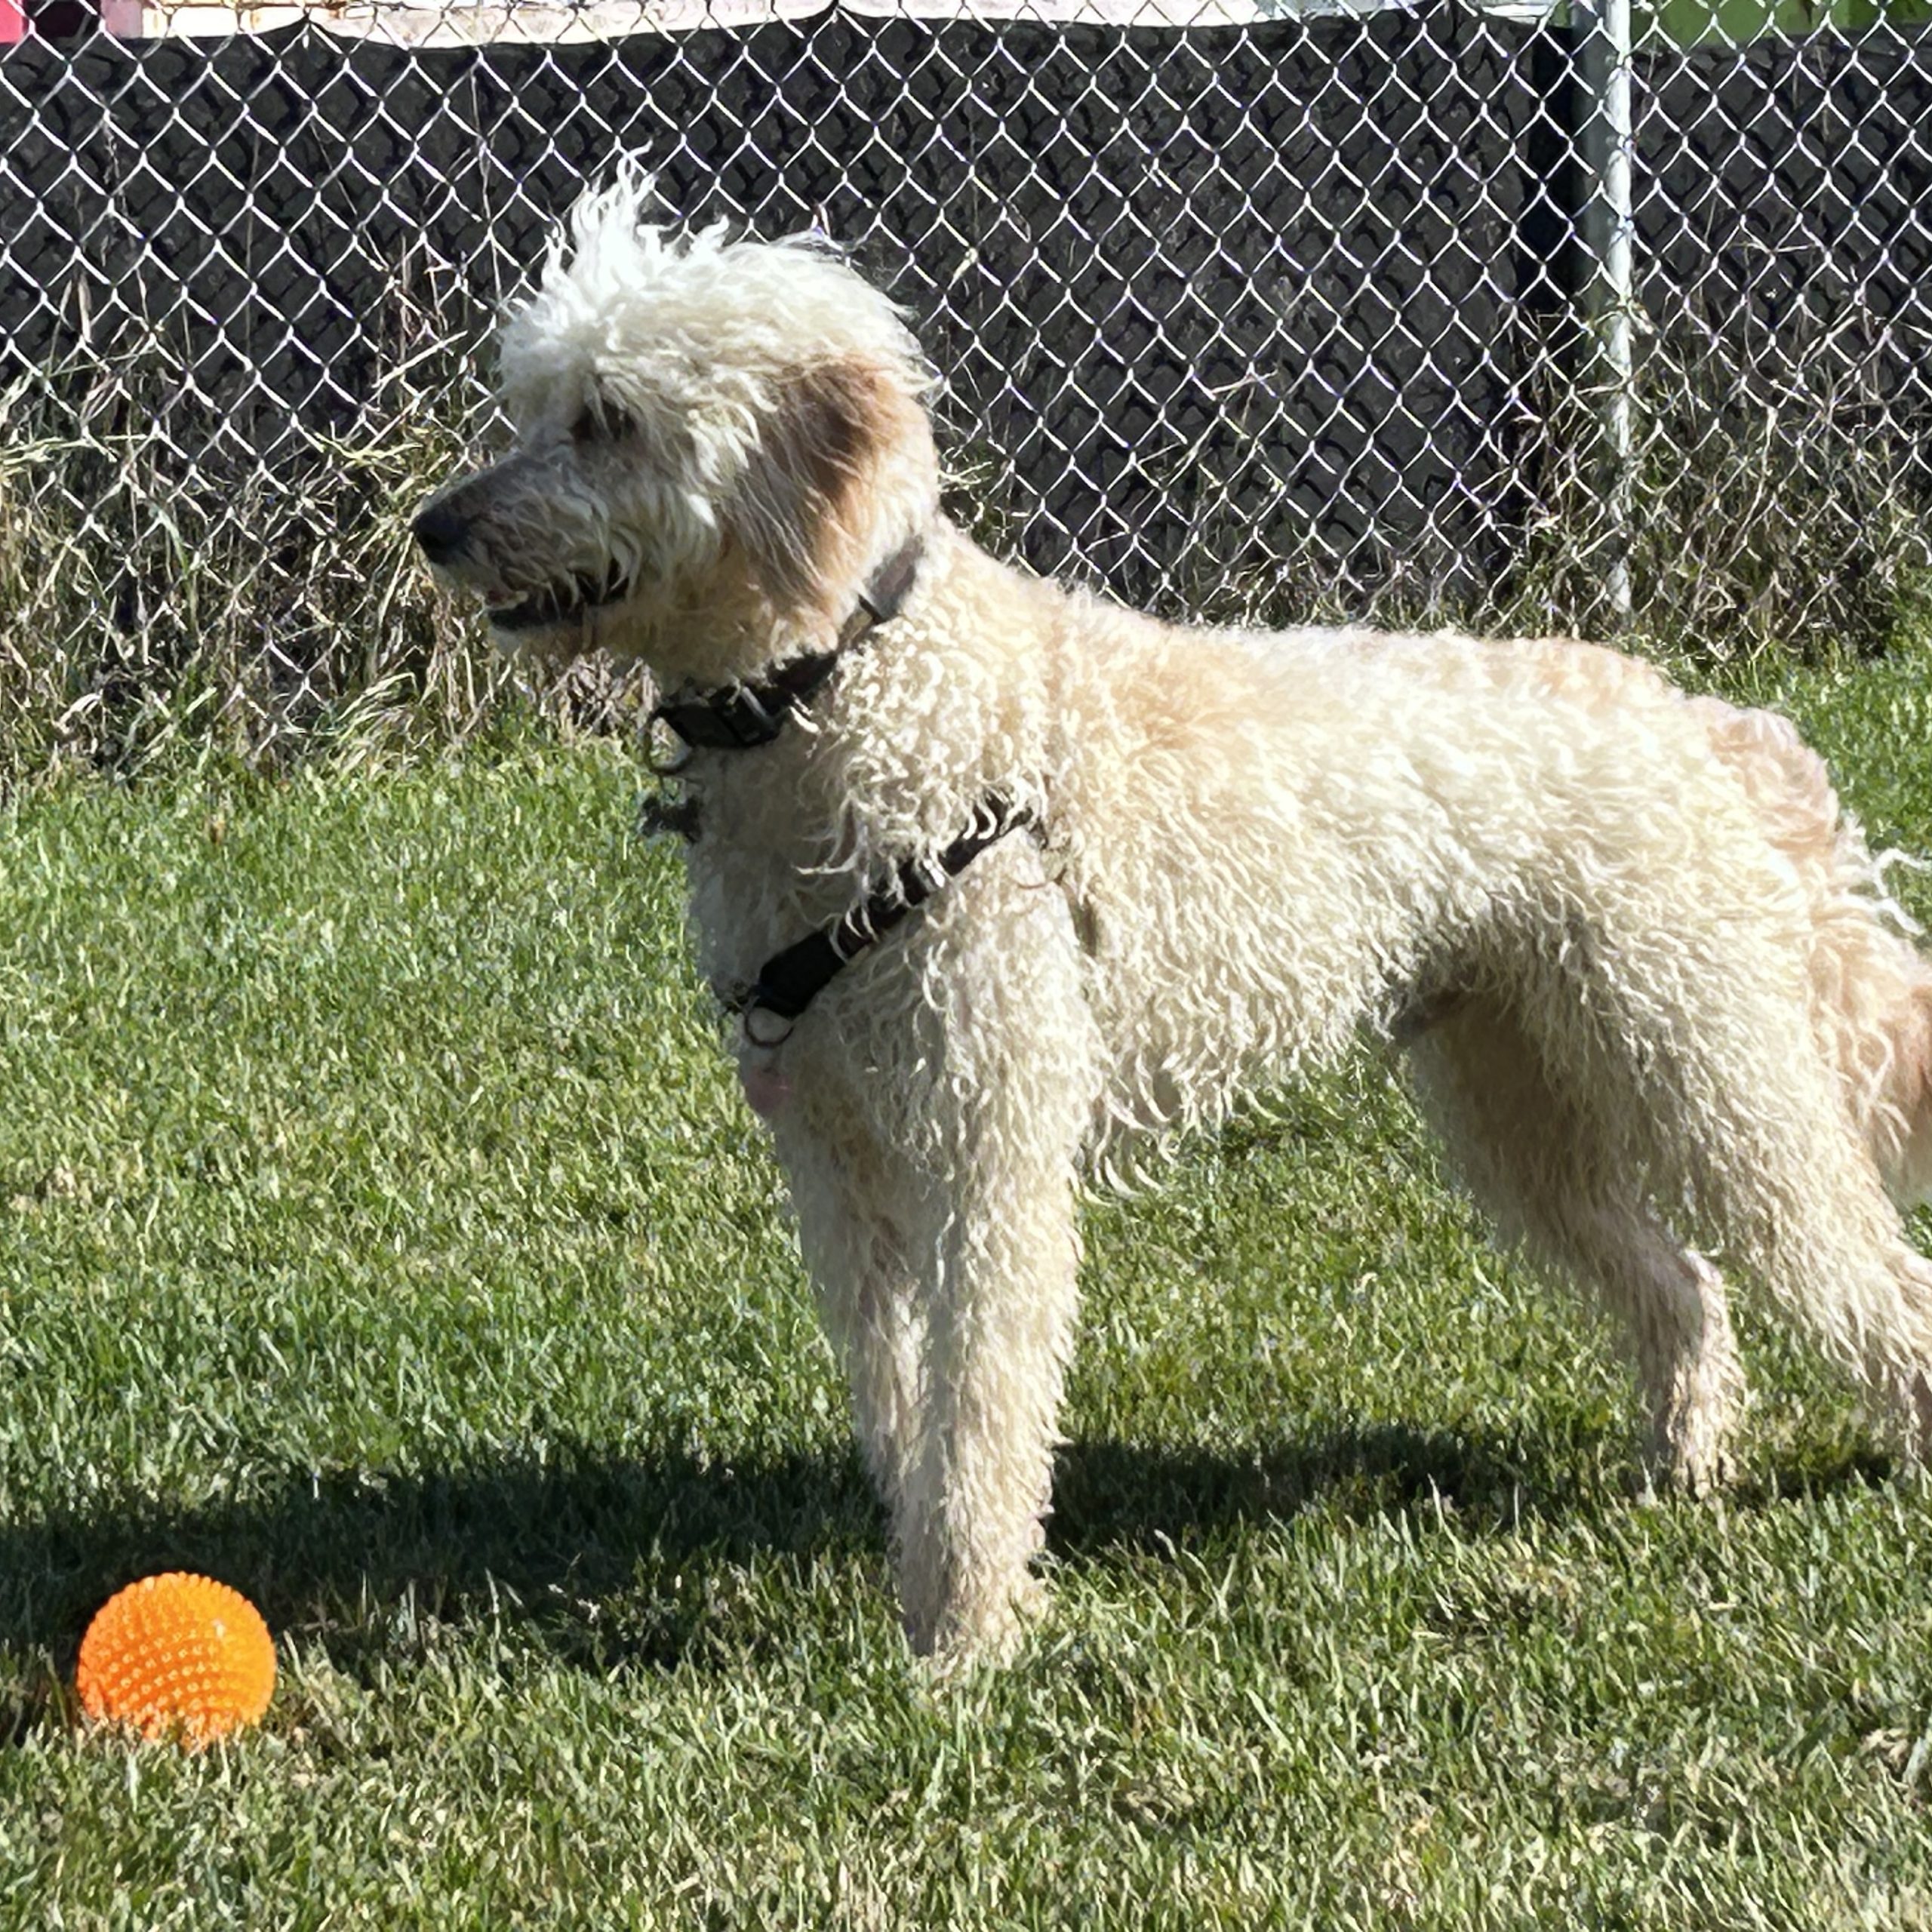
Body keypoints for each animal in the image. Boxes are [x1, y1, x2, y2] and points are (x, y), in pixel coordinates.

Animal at [414, 171, 1932, 1665]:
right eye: (535, 408)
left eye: (610, 421)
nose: (436, 528)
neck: (859, 685)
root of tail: (1692, 715)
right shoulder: (841, 1158)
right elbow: (901, 1395)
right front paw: (926, 1568)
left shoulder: (988, 1151)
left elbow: (983, 1403)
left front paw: (965, 1636)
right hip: (1520, 1103)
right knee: (1683, 1287)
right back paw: (1683, 1467)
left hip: (1706, 1070)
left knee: (1861, 1270)